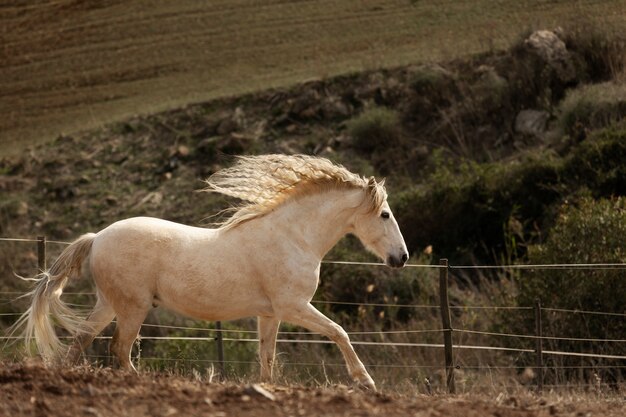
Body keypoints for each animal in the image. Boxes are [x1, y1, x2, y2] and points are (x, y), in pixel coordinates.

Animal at [14, 154, 408, 390]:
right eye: (385, 214)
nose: (401, 258)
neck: (292, 236)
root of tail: (96, 238)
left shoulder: (271, 313)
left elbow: (266, 355)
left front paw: (265, 388)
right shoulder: (294, 307)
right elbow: (339, 332)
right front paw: (365, 382)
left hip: (110, 304)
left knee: (81, 341)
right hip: (132, 307)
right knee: (118, 349)